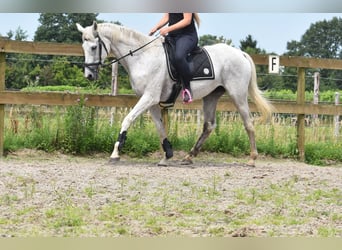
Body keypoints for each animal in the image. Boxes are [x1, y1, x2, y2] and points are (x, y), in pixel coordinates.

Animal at [77, 21, 272, 166]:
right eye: (83, 47)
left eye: (93, 47)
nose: (89, 75)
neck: (142, 57)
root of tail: (240, 53)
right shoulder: (151, 102)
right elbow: (160, 127)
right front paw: (167, 155)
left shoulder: (149, 97)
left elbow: (128, 119)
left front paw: (116, 153)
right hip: (211, 96)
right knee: (209, 126)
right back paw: (189, 156)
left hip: (237, 95)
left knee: (248, 123)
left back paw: (252, 158)